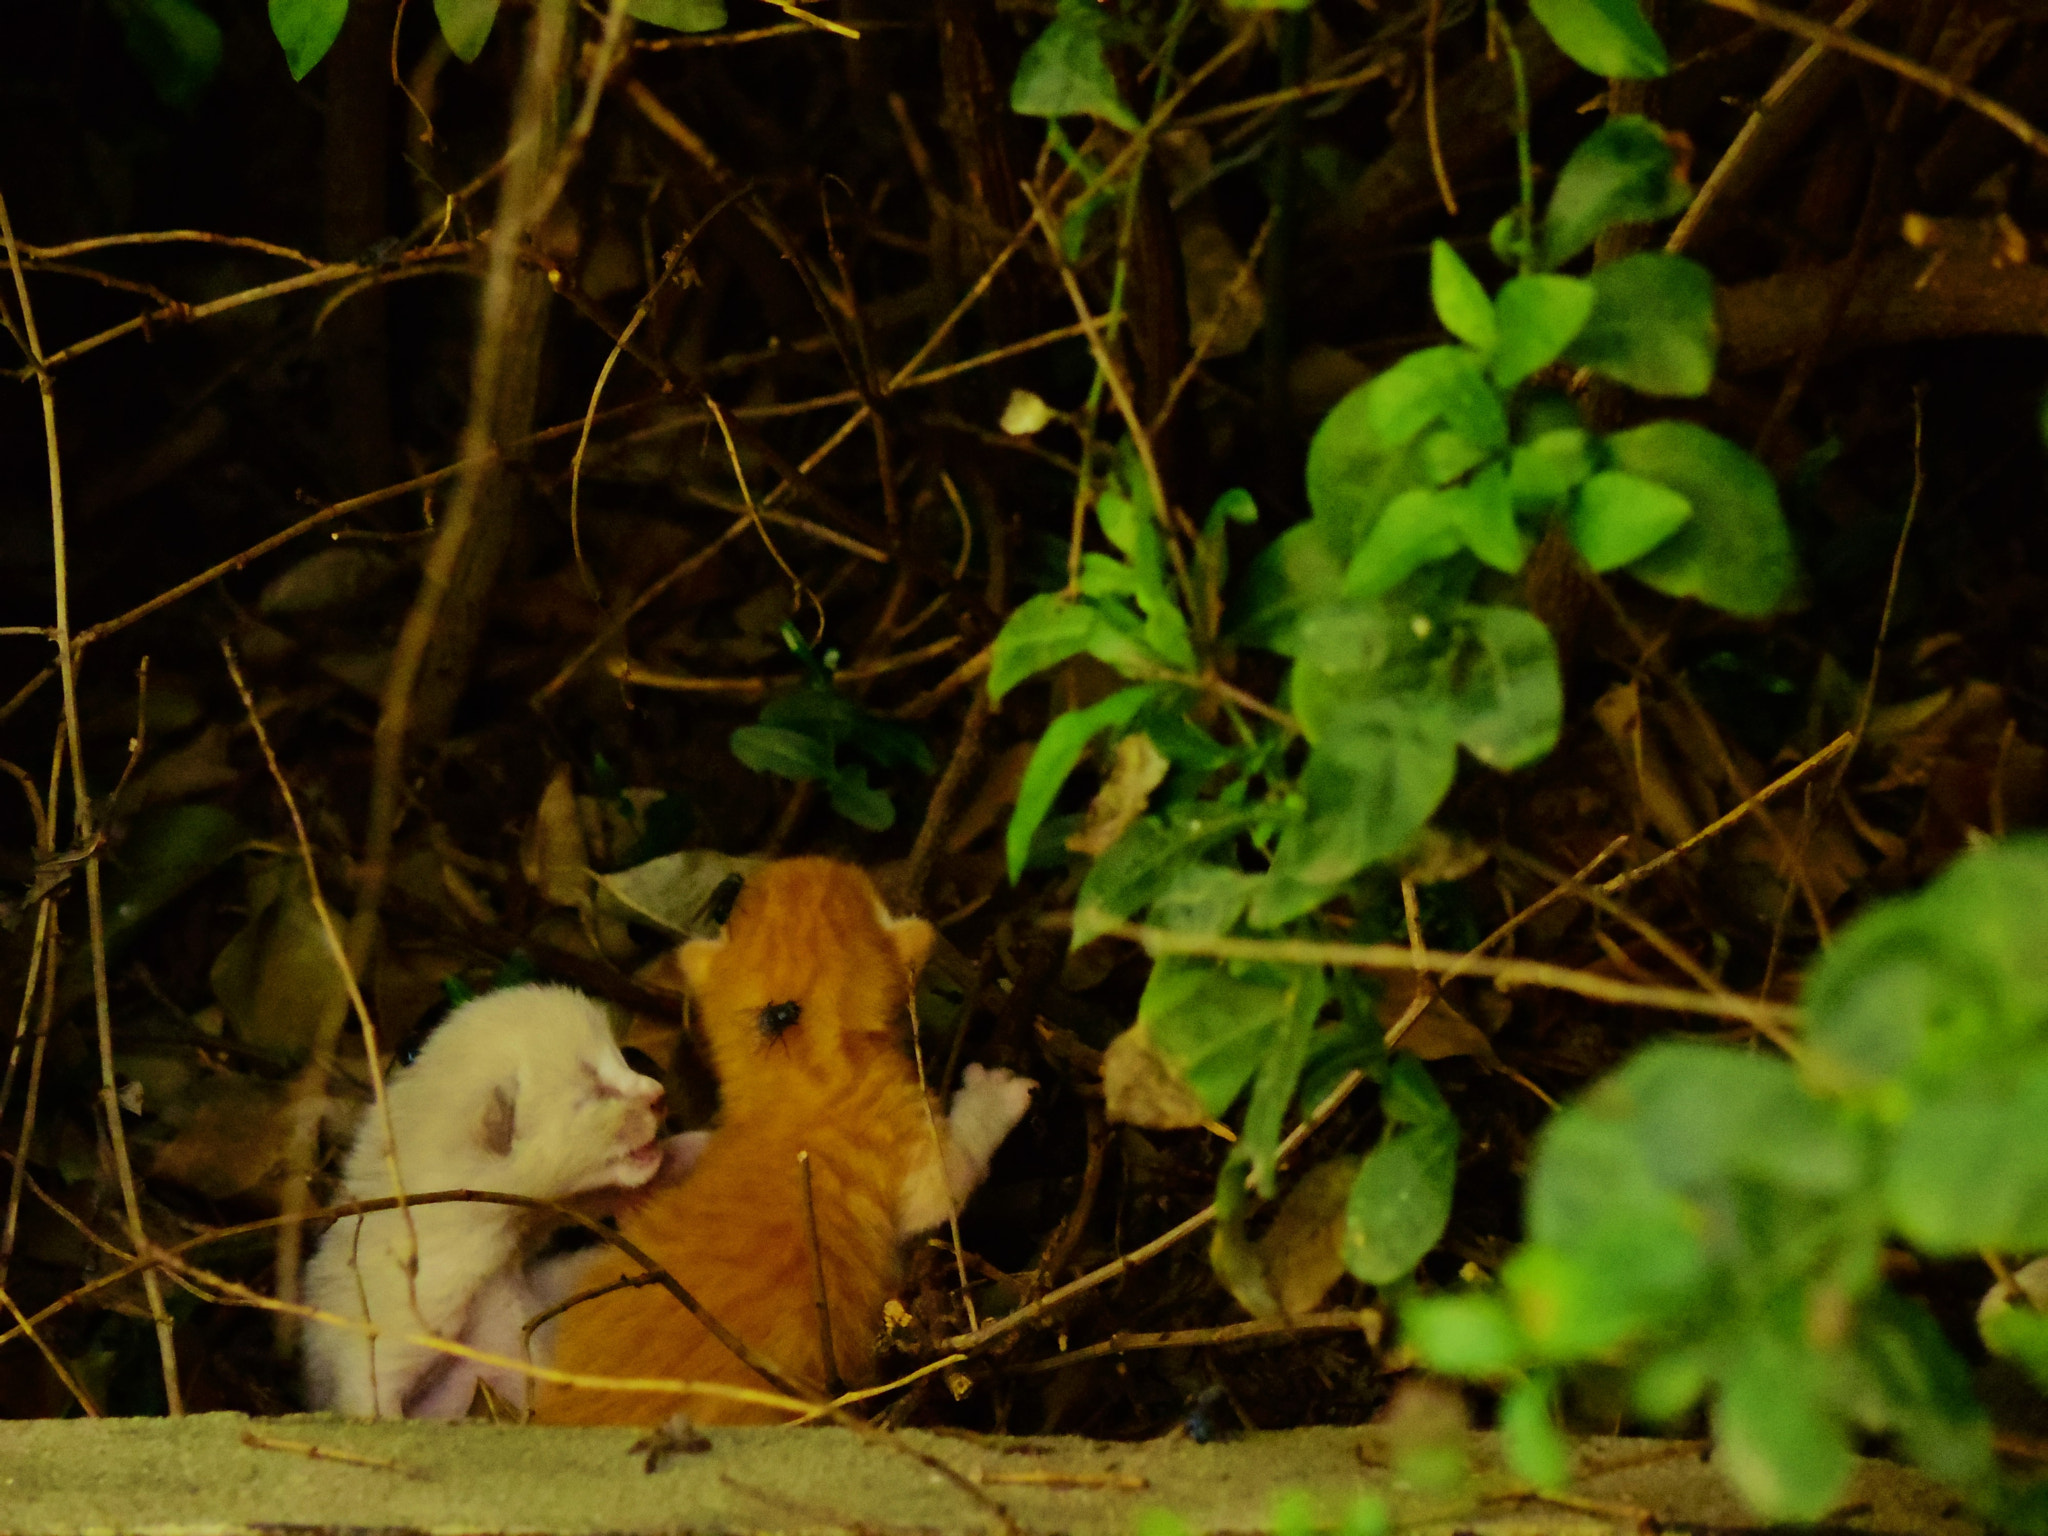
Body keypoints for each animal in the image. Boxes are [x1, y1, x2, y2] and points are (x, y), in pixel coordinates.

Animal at [299, 987, 692, 1417]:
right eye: (593, 1092)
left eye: (620, 1058)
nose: (659, 1096)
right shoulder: (393, 1331)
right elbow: (371, 1393)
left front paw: (690, 1151)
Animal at [536, 860, 1032, 1425]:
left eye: (738, 907)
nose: (803, 863)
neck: (796, 1075)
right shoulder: (897, 1126)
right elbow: (947, 1184)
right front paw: (995, 1096)